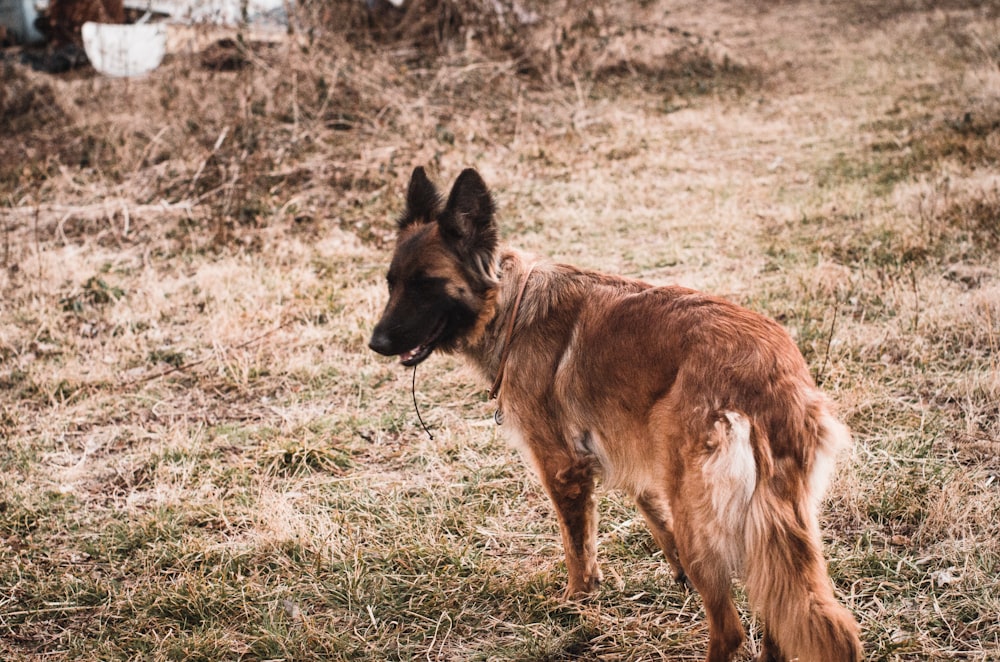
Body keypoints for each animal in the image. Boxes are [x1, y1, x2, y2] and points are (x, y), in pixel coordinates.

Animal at [368, 169, 860, 660]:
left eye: (426, 284)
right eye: (392, 283)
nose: (376, 343)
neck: (511, 309)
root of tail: (771, 375)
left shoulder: (562, 468)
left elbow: (577, 548)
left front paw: (577, 600)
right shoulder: (632, 453)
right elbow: (652, 513)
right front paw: (673, 572)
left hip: (703, 524)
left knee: (731, 630)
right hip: (765, 528)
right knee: (781, 615)